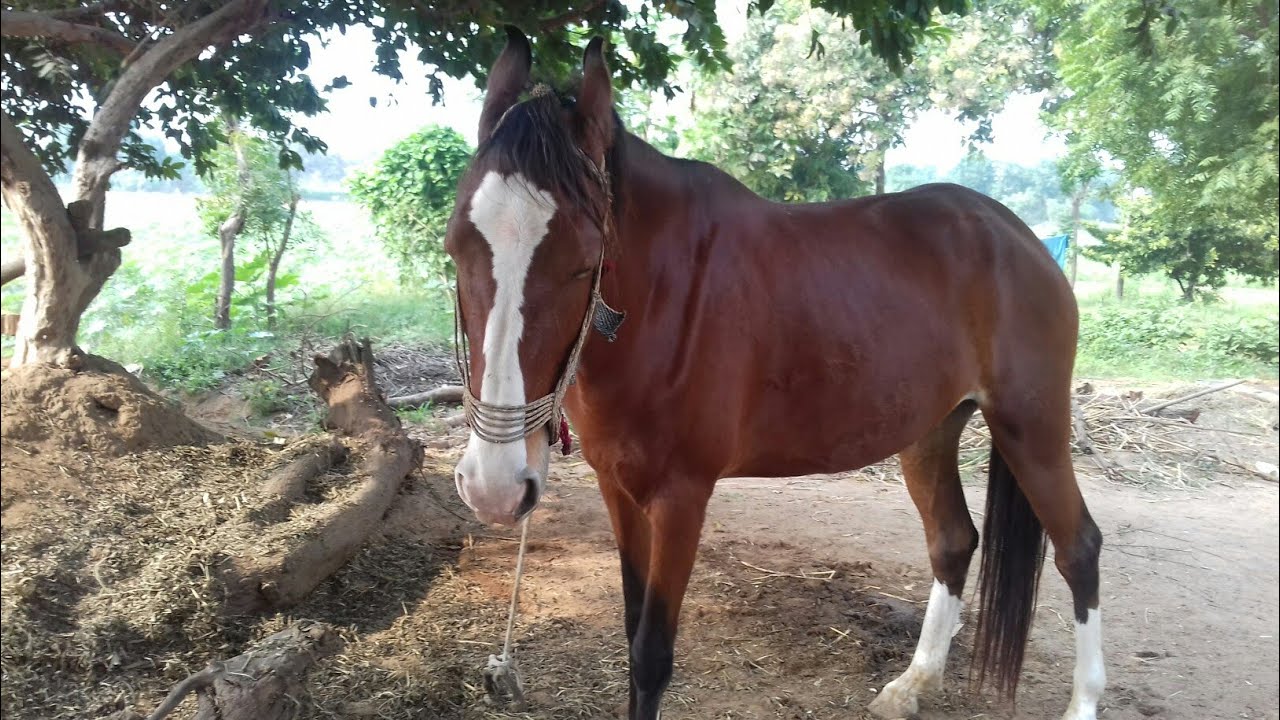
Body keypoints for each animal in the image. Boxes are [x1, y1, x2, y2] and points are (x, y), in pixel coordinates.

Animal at [444, 27, 1105, 720]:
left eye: (581, 261)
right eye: (455, 247)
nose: (493, 488)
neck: (664, 299)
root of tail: (1019, 237)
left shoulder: (681, 498)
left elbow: (651, 655)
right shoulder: (617, 490)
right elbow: (630, 631)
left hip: (1031, 426)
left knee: (1078, 548)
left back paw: (1082, 700)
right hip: (930, 432)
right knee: (953, 541)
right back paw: (914, 683)